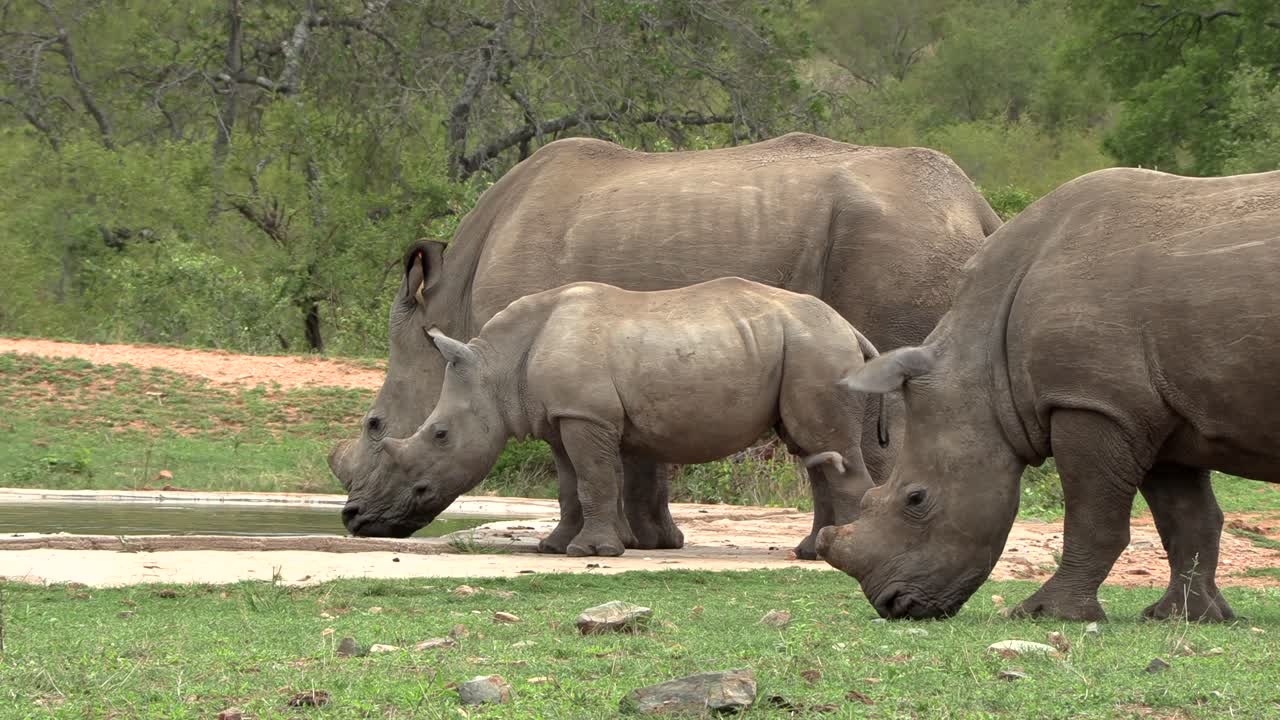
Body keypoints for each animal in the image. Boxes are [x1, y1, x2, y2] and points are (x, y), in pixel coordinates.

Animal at [341, 278, 884, 556]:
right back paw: (811, 550)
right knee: (814, 451)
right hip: (807, 349)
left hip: (817, 351)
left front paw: (592, 553)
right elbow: (569, 487)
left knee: (826, 447)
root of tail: (850, 329)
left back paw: (834, 555)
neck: (496, 369)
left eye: (439, 434)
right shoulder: (560, 417)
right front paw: (554, 547)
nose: (354, 518)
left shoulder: (587, 416)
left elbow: (595, 480)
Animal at [818, 167, 1280, 621]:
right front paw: (1184, 616)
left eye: (916, 499)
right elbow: (1188, 519)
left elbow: (1092, 520)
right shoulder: (1148, 409)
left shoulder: (1092, 402)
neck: (980, 363)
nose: (892, 604)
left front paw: (1046, 614)